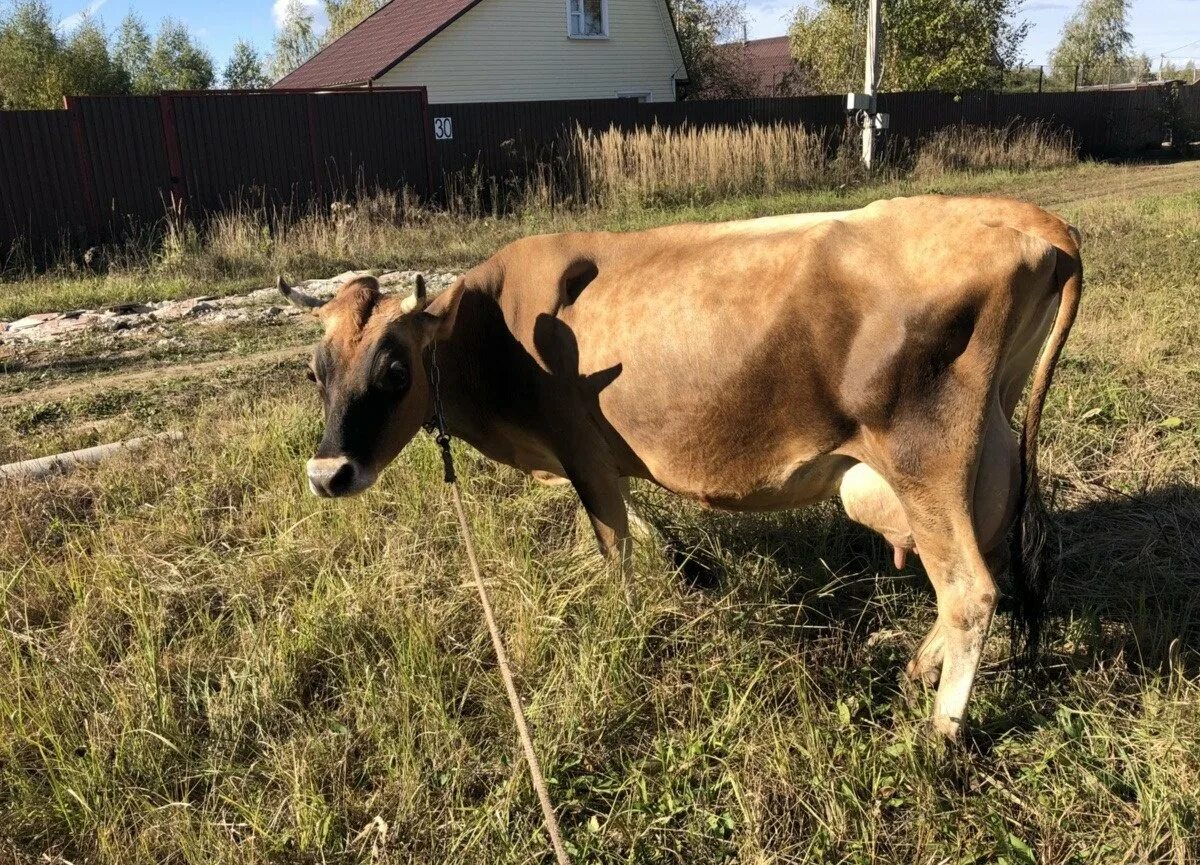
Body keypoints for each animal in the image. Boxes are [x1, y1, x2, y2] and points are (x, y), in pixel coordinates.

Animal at [283, 194, 1089, 734]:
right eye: (314, 371)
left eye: (394, 371)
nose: (327, 475)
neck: (493, 330)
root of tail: (1021, 215)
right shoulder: (600, 456)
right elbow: (636, 524)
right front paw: (691, 570)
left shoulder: (579, 445)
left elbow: (613, 546)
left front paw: (634, 621)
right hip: (983, 445)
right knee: (983, 557)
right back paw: (919, 670)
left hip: (925, 454)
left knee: (970, 590)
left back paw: (940, 733)